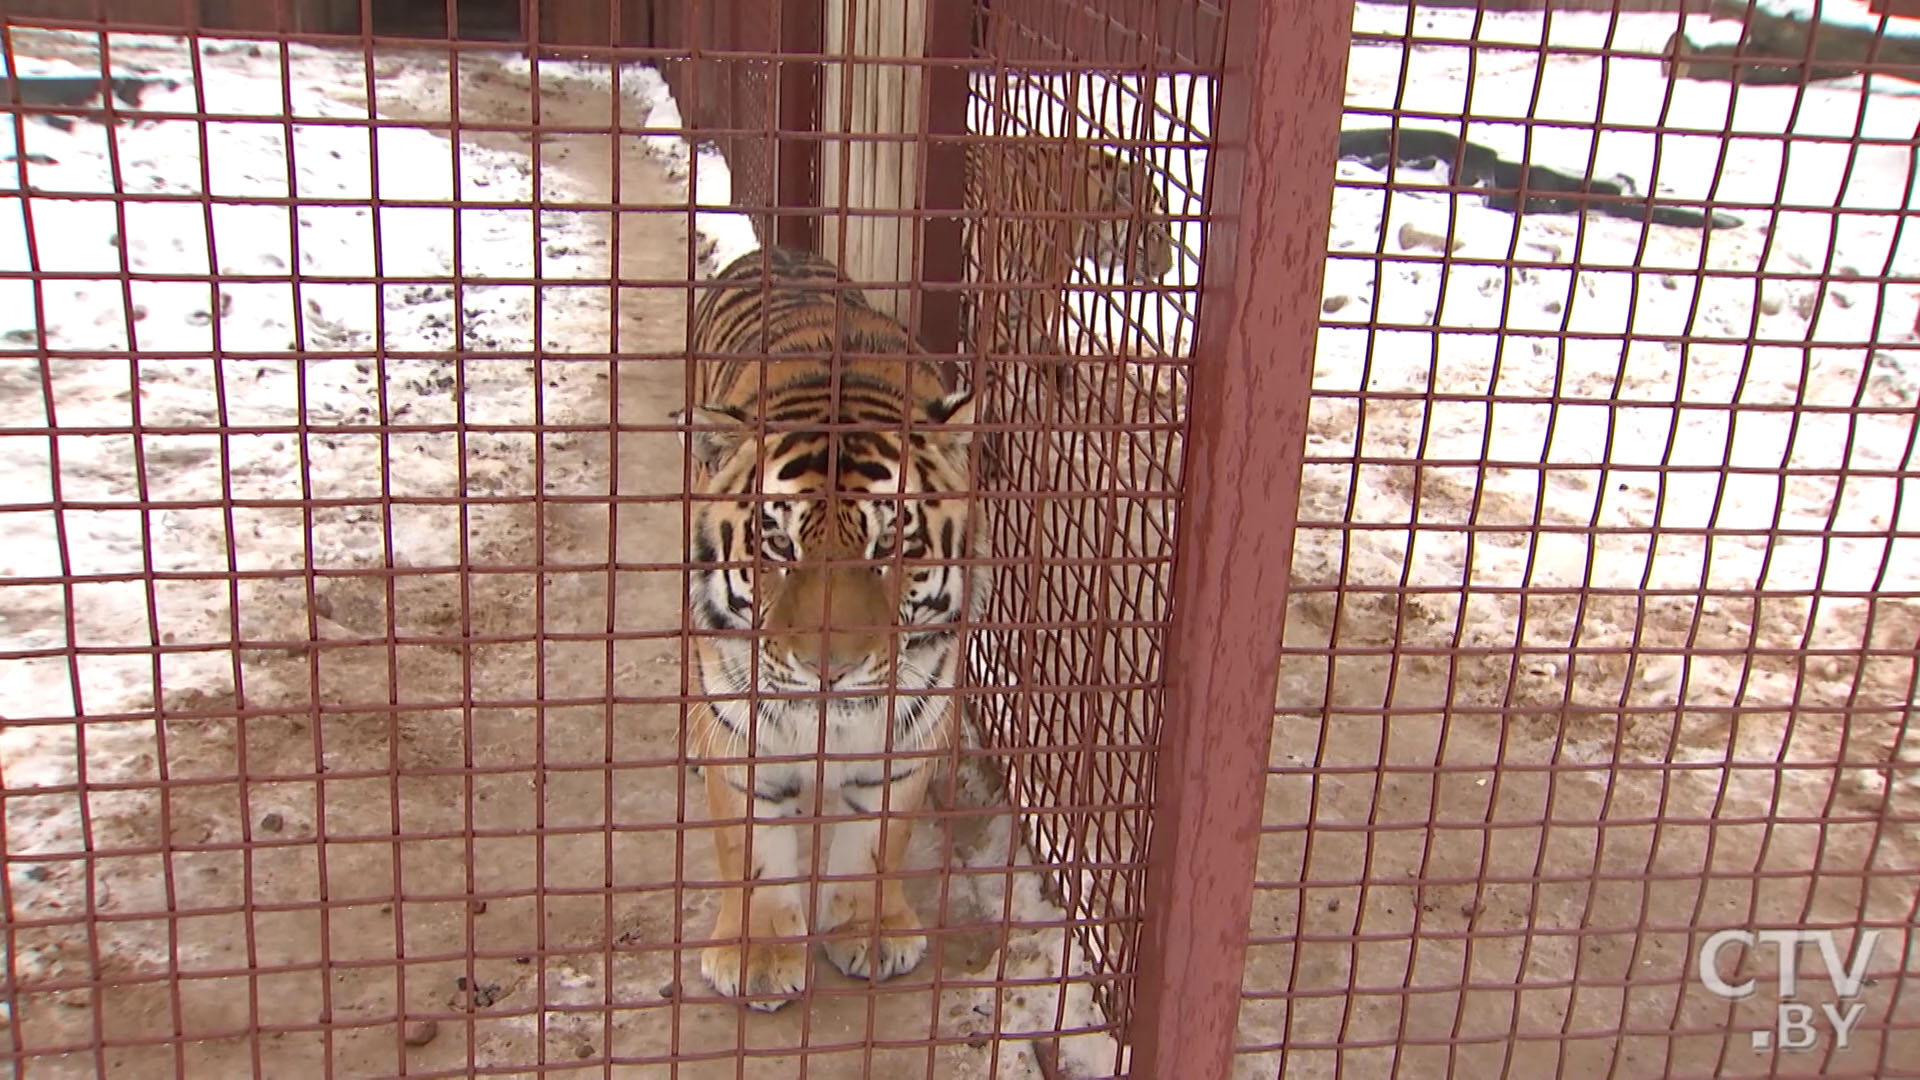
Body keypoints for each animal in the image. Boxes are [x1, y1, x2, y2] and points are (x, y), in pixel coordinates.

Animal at [675, 244, 983, 1006]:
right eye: (779, 547)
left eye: (889, 547)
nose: (829, 670)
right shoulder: (742, 732)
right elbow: (751, 850)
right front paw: (756, 956)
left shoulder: (906, 732)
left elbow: (877, 844)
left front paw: (870, 933)